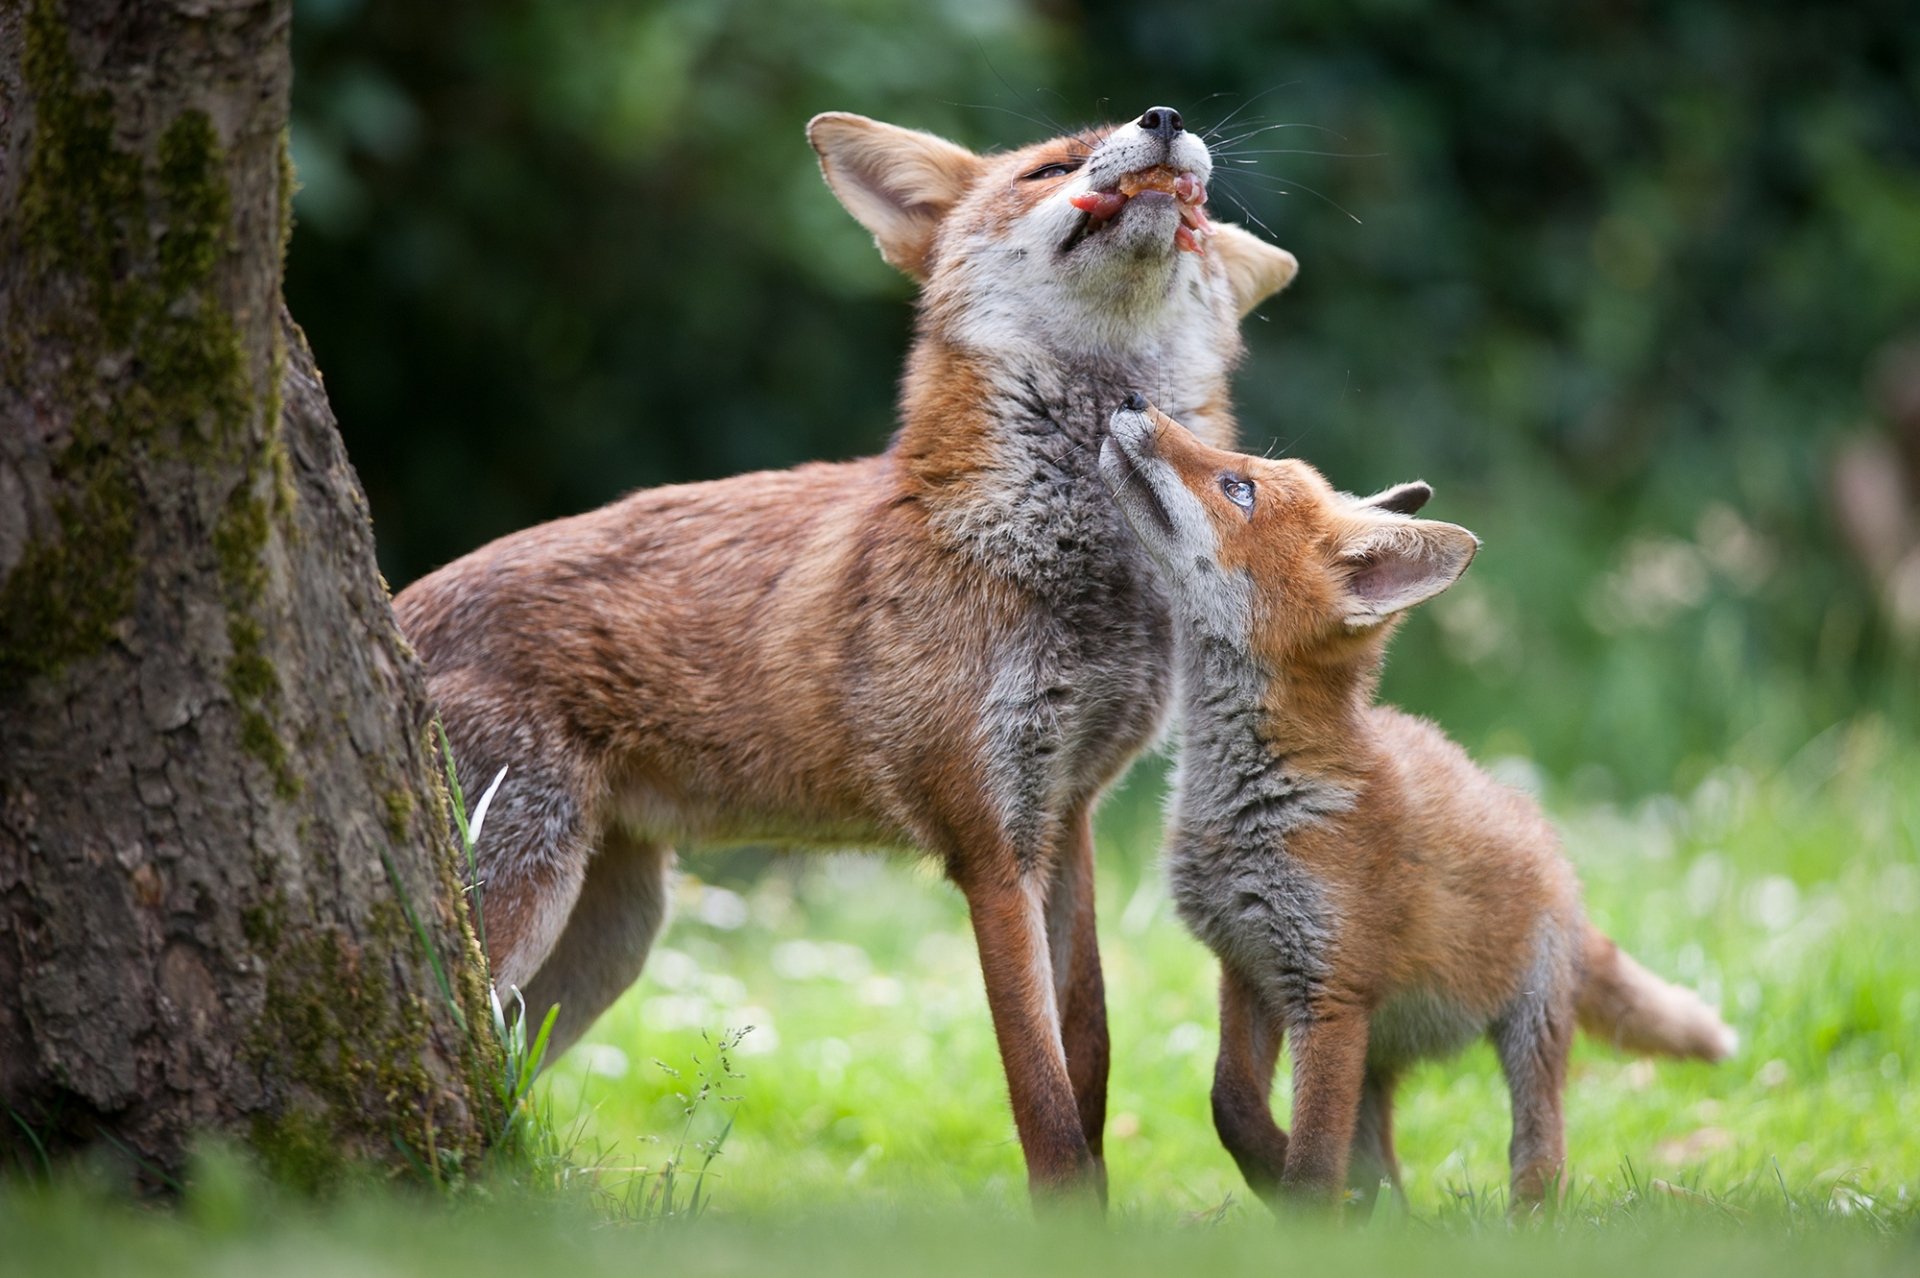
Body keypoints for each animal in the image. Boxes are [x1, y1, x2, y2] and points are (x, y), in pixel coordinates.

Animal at [392, 107, 1303, 1203]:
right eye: (1050, 166)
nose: (1164, 121)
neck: (1070, 569)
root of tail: (392, 610)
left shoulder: (1064, 814)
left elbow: (1089, 1059)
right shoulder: (986, 844)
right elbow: (1043, 1106)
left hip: (605, 942)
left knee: (504, 1070)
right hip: (526, 901)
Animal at [1097, 398, 1737, 1211]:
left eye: (1238, 487)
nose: (1131, 403)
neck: (1256, 803)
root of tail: (1552, 846)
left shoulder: (1329, 994)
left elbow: (1314, 1161)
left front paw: (1305, 1209)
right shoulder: (1248, 966)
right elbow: (1230, 1103)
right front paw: (1276, 1177)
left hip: (1527, 1030)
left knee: (1541, 1154)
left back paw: (1525, 1219)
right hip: (1375, 1055)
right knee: (1384, 1167)